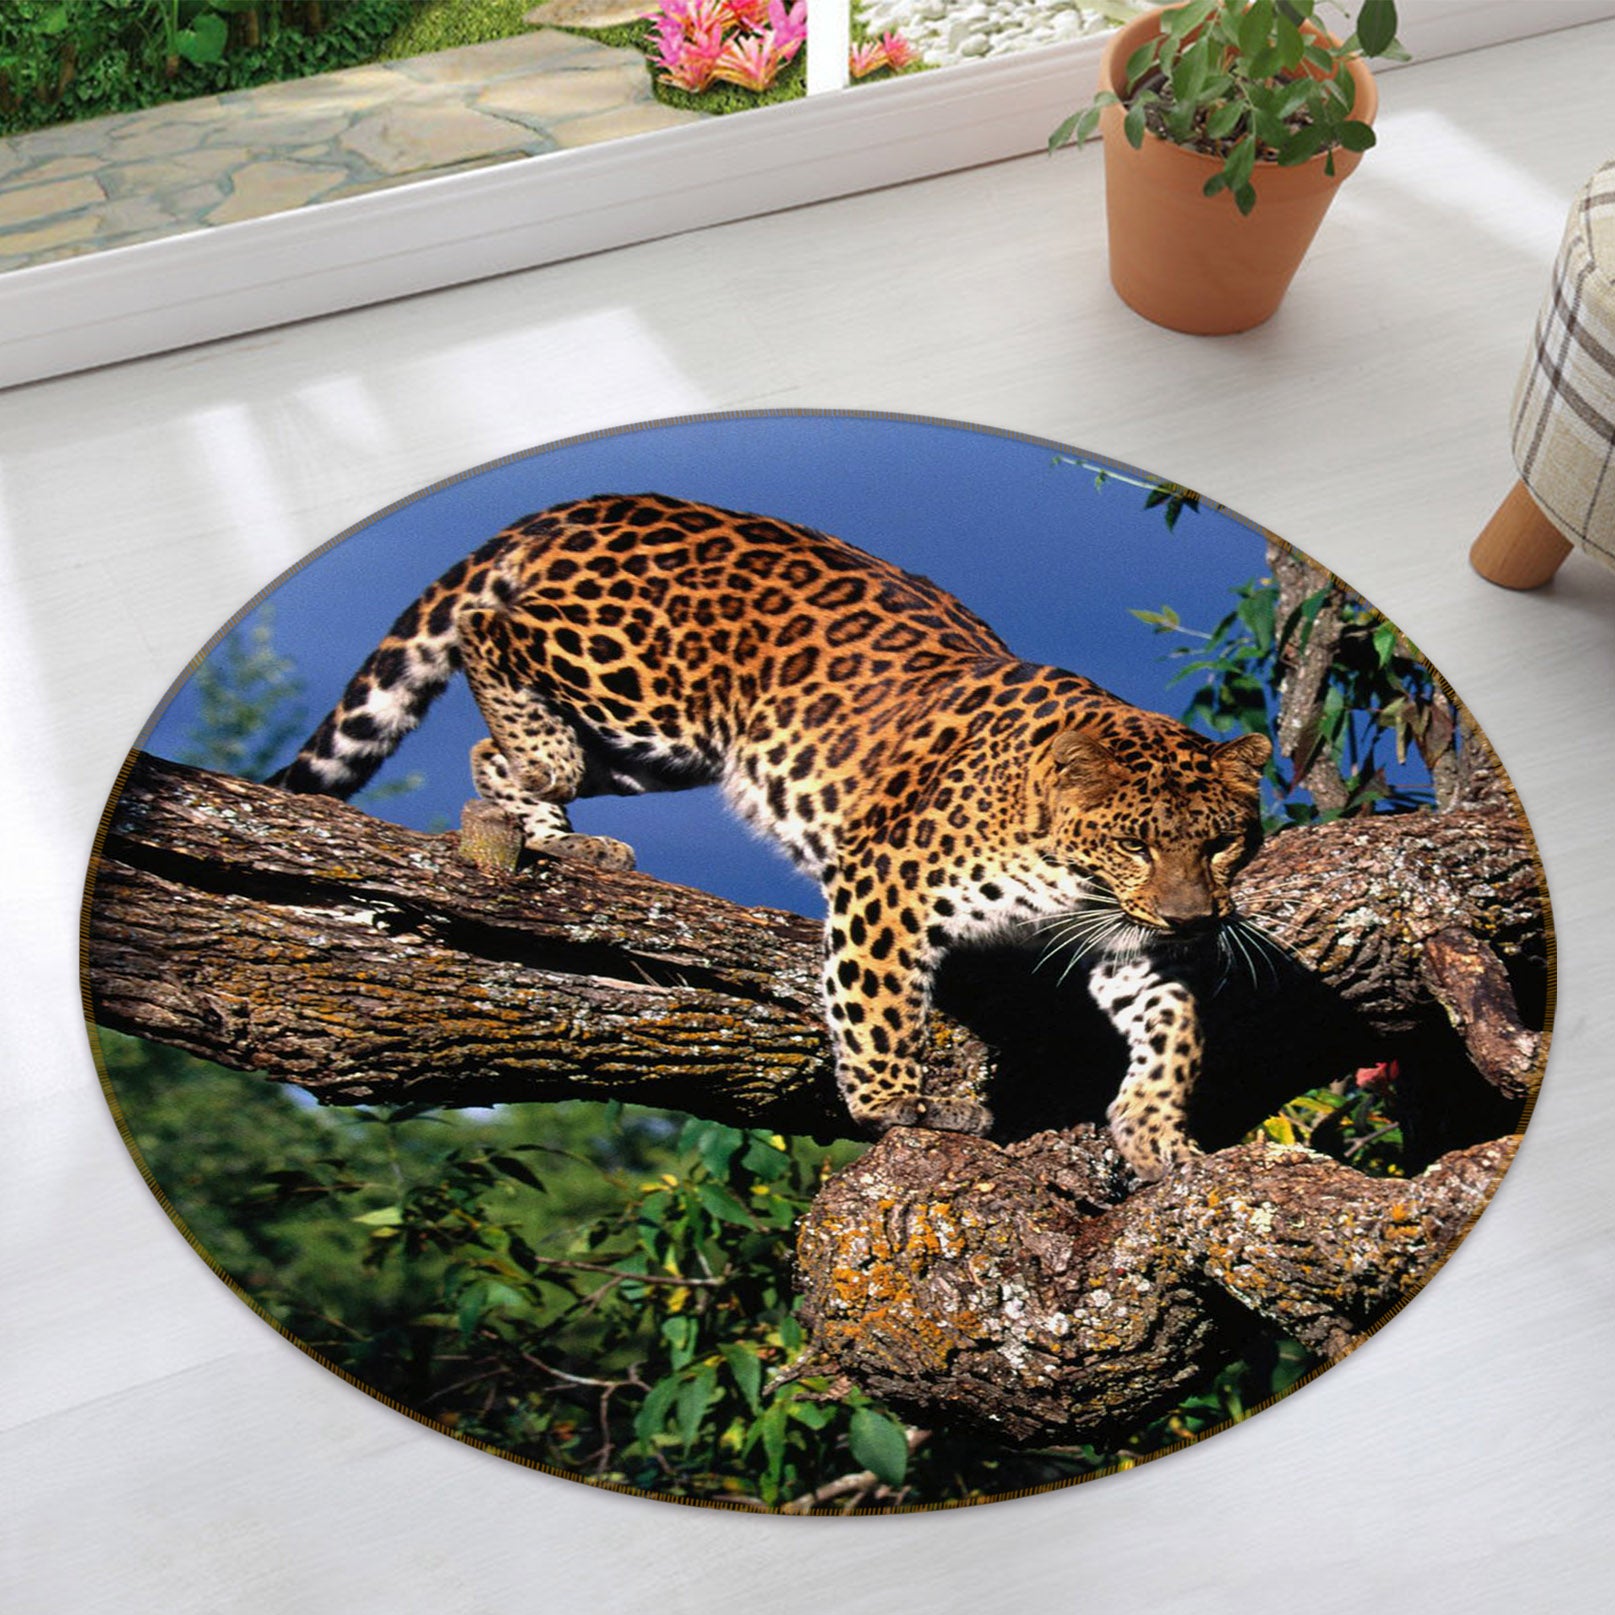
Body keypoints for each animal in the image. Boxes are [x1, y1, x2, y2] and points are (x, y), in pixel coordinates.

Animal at [272, 492, 1272, 1179]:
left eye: (1222, 843)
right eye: (1136, 843)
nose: (1194, 918)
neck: (1071, 869)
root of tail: (593, 501)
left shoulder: (1136, 947)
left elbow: (1174, 1030)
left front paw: (1157, 1134)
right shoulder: (888, 879)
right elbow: (878, 1006)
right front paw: (898, 1108)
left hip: (661, 749)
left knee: (492, 751)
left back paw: (560, 838)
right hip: (636, 680)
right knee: (490, 631)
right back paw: (545, 763)